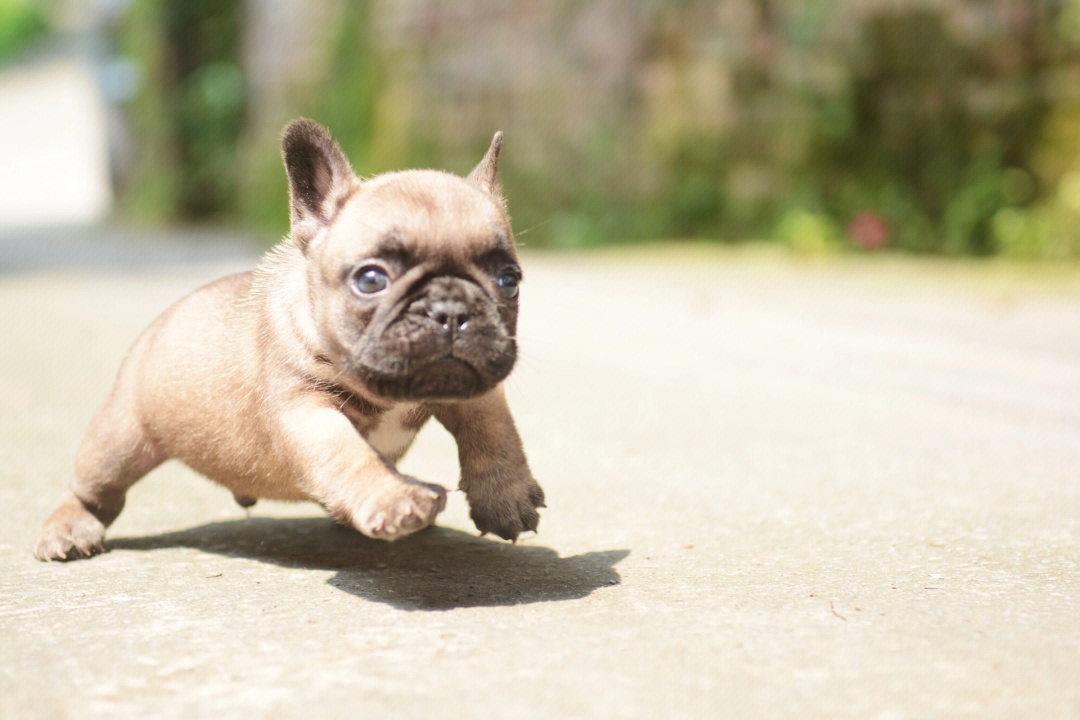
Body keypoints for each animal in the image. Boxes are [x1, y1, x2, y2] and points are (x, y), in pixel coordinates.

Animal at [33, 118, 544, 561]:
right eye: (371, 279)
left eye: (509, 281)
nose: (450, 311)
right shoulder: (306, 410)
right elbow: (349, 455)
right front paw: (394, 498)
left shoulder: (472, 384)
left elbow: (495, 431)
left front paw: (506, 498)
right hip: (120, 438)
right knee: (93, 489)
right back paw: (67, 529)